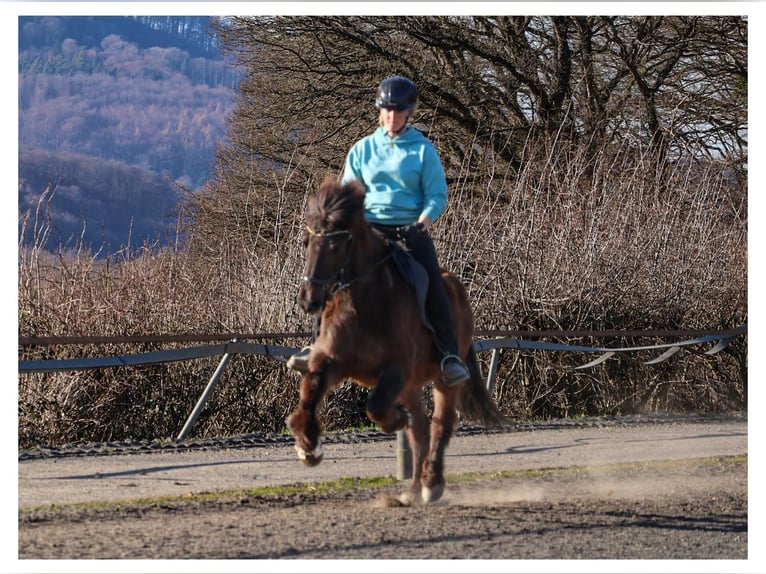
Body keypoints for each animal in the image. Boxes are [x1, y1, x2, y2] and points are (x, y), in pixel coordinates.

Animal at [286, 178, 508, 504]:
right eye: (306, 243)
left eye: (336, 246)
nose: (309, 300)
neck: (364, 302)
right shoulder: (333, 361)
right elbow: (310, 391)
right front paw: (309, 446)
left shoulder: (395, 369)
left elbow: (376, 407)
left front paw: (397, 420)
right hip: (410, 384)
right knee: (422, 430)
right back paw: (412, 490)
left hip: (440, 379)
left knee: (441, 425)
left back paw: (431, 484)